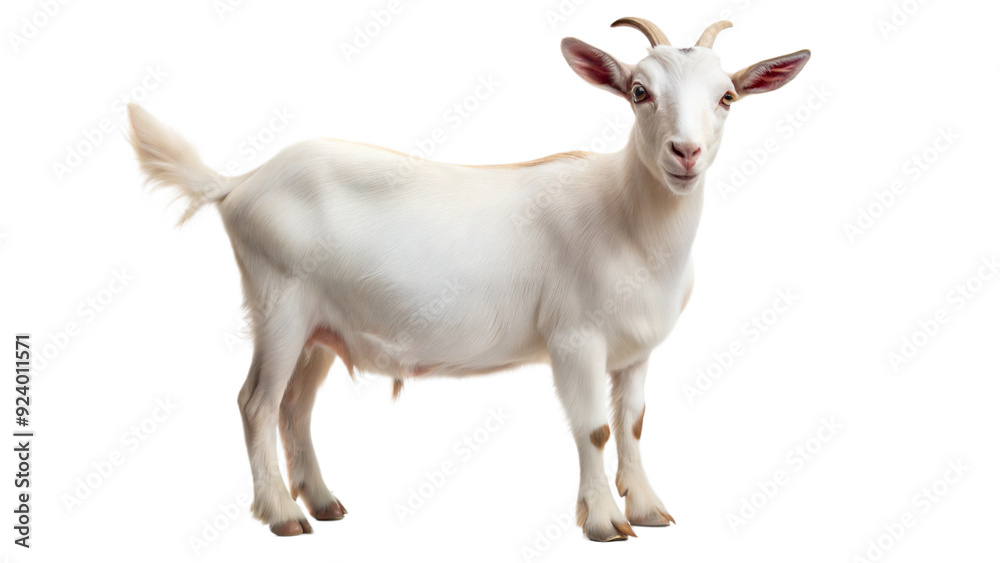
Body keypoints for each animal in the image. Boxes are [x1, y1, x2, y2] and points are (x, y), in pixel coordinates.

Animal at [128, 17, 809, 541]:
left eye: (727, 97)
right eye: (639, 91)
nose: (684, 153)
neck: (627, 220)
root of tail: (239, 183)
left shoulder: (636, 348)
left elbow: (633, 423)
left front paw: (648, 510)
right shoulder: (575, 338)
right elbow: (593, 428)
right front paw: (604, 523)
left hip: (319, 325)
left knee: (295, 406)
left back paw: (321, 502)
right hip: (279, 305)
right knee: (256, 403)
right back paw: (281, 516)